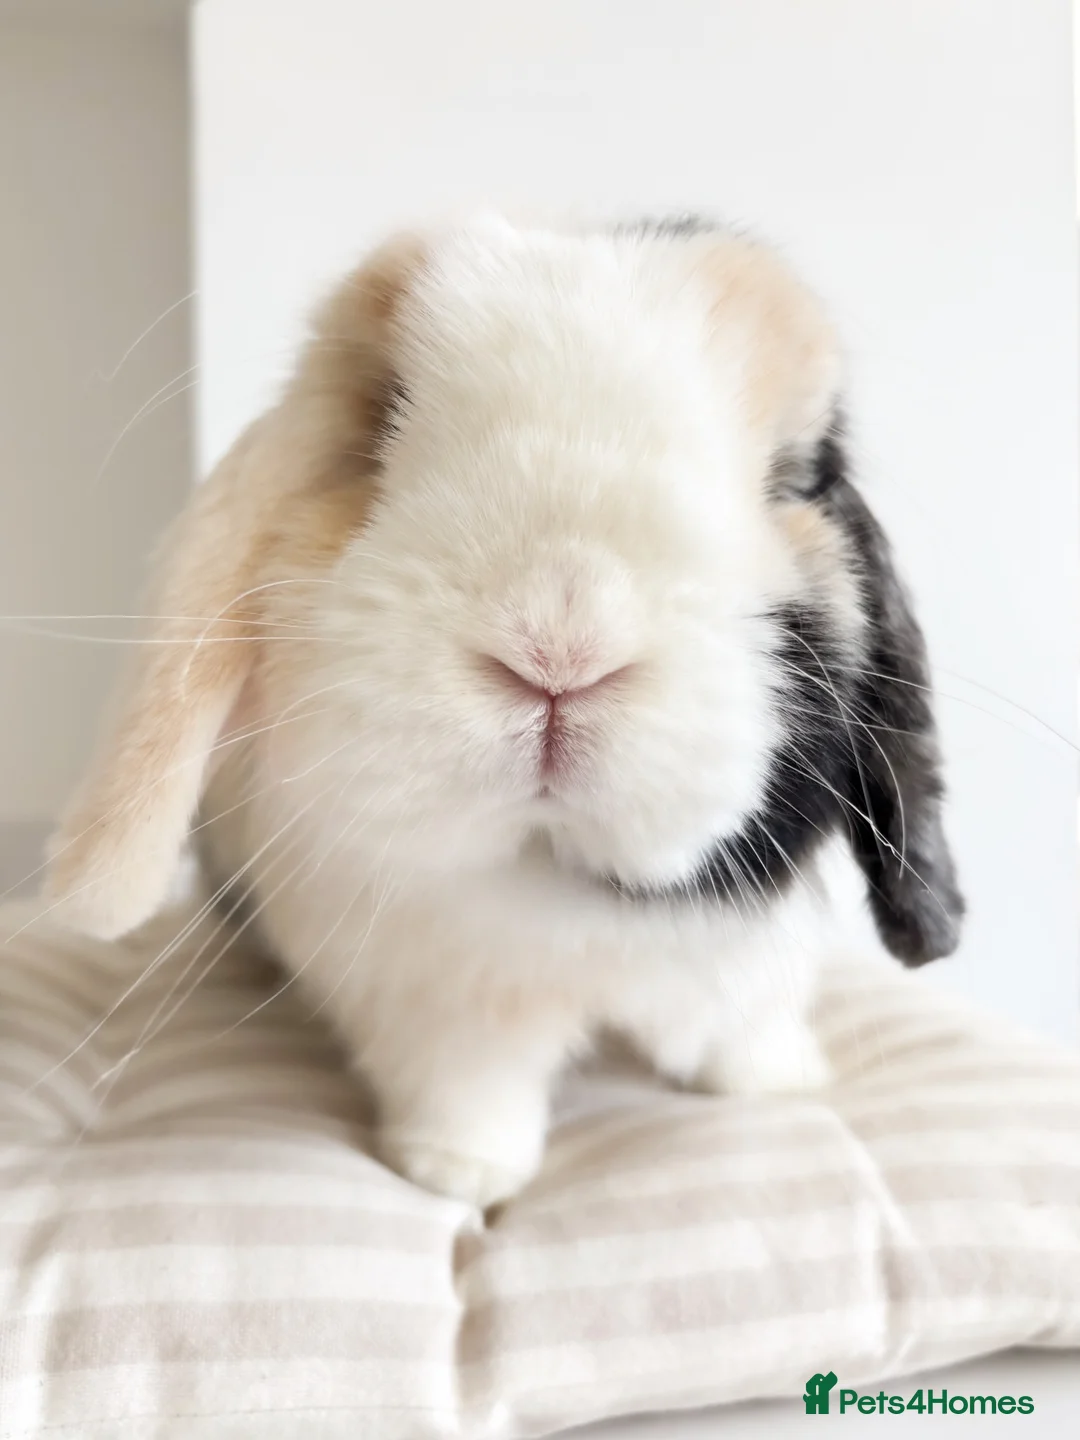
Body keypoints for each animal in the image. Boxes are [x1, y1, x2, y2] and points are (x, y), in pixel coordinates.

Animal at [44, 213, 964, 1207]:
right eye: (384, 423)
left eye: (799, 479)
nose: (560, 648)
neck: (549, 870)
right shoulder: (437, 1009)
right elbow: (470, 1086)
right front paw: (459, 1175)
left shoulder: (747, 961)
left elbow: (743, 1023)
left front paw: (778, 1084)